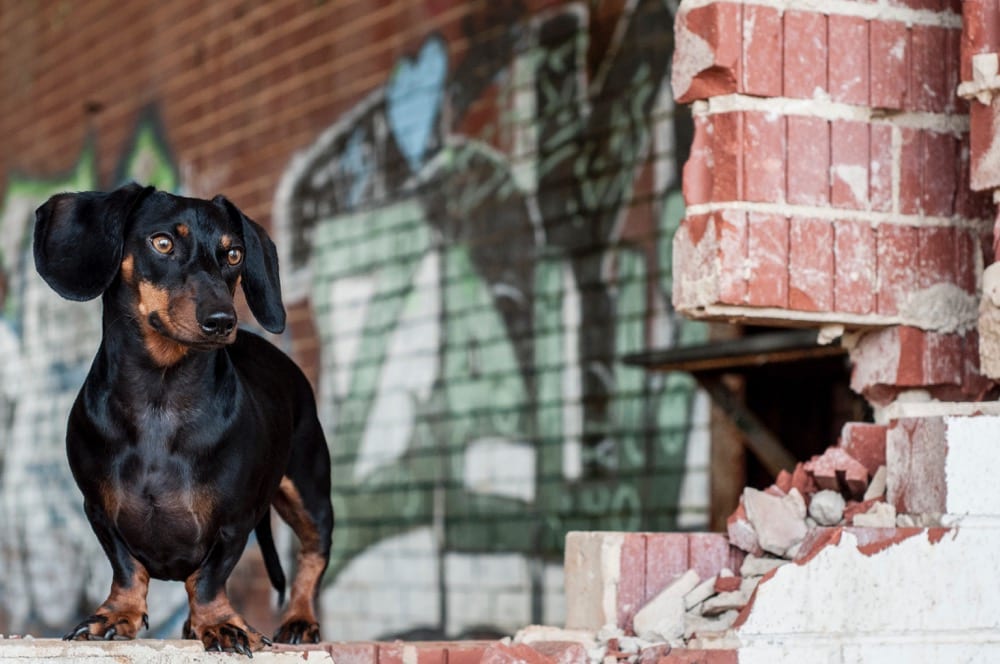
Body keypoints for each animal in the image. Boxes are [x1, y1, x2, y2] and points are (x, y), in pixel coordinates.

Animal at [33, 184, 334, 656]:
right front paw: (117, 615)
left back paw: (300, 620)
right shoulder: (98, 509)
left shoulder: (235, 520)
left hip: (309, 489)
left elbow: (209, 579)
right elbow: (126, 567)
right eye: (162, 243)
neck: (161, 396)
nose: (222, 321)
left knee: (314, 553)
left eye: (233, 254)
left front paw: (221, 623)